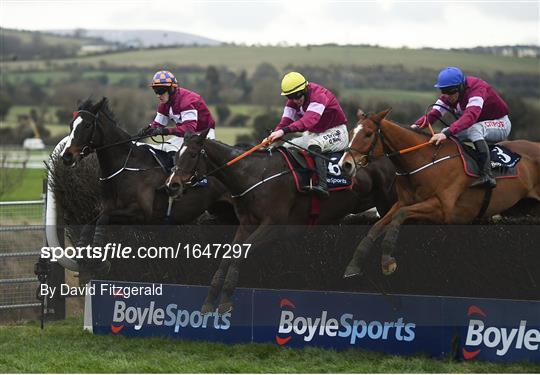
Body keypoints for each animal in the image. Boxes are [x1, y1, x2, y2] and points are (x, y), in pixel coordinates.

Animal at [61, 97, 234, 272]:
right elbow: (91, 222)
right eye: (71, 125)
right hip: (224, 211)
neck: (126, 166)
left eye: (87, 125)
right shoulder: (110, 207)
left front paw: (99, 262)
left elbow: (102, 219)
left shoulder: (141, 214)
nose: (66, 156)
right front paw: (82, 255)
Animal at [166, 132, 396, 314]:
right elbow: (229, 254)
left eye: (192, 155)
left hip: (387, 202)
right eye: (176, 155)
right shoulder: (246, 224)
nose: (171, 185)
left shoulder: (274, 226)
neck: (254, 175)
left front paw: (224, 301)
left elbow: (239, 254)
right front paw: (210, 300)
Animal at [338, 109, 540, 280]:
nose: (345, 165)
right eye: (351, 132)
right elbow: (377, 226)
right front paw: (354, 265)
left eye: (368, 134)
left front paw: (387, 261)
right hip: (523, 209)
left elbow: (399, 216)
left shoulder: (443, 210)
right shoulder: (402, 202)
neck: (423, 162)